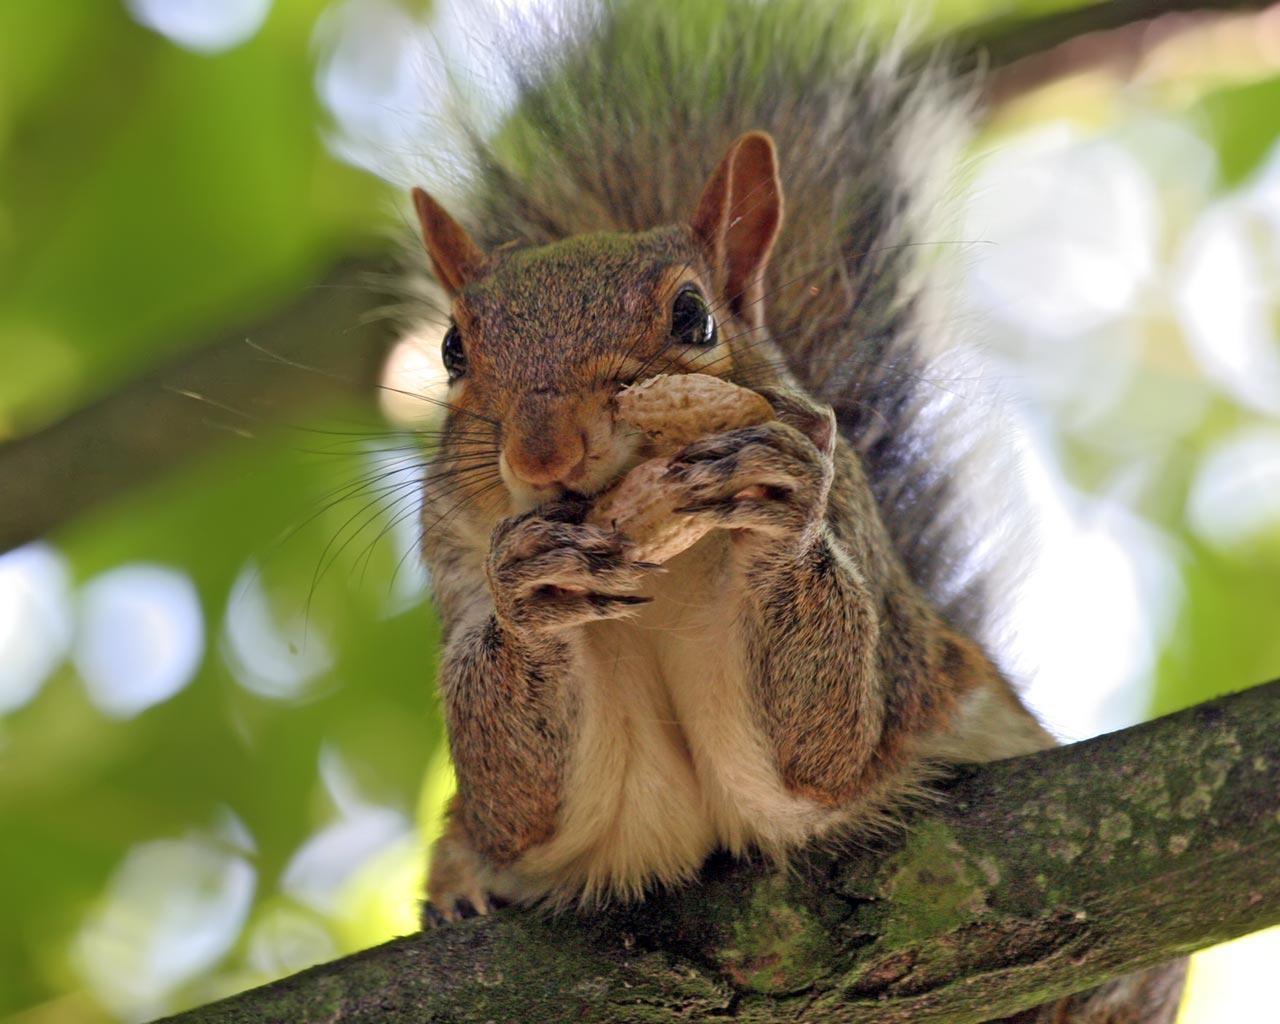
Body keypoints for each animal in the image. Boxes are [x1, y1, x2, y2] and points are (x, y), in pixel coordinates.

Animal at [404, 2, 1182, 1024]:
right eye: (453, 350)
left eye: (694, 318)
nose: (542, 454)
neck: (669, 573)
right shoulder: (458, 570)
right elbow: (515, 810)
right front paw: (529, 598)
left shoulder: (853, 545)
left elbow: (825, 751)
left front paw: (778, 508)